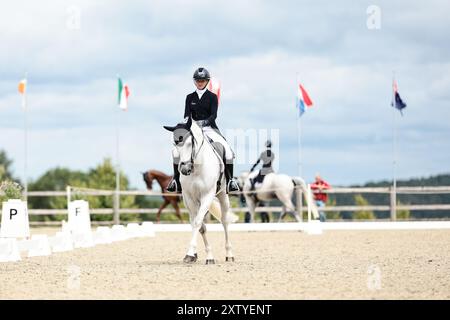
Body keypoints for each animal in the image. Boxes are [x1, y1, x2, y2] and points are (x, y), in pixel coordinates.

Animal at [165, 119, 236, 264]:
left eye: (189, 143)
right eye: (175, 144)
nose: (184, 169)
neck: (196, 168)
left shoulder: (207, 196)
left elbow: (198, 222)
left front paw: (194, 253)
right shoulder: (189, 198)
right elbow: (199, 225)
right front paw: (197, 255)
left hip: (222, 195)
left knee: (224, 222)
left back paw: (229, 254)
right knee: (194, 221)